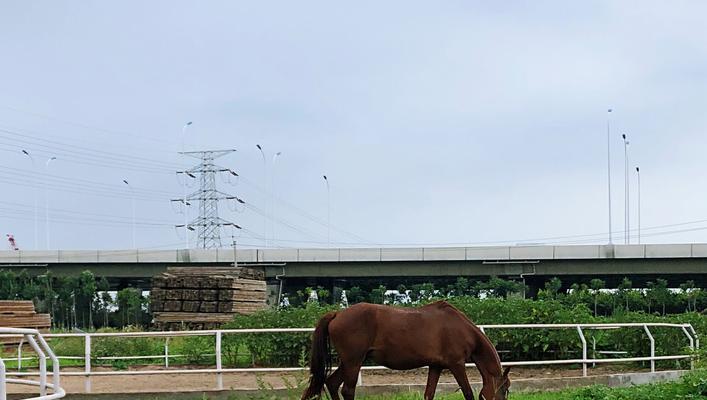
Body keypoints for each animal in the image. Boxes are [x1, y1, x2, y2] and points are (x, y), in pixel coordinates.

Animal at [302, 300, 512, 400]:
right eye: (505, 388)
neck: (460, 327)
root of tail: (337, 314)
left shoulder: (436, 366)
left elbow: (429, 394)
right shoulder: (456, 364)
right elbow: (467, 392)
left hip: (348, 362)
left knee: (331, 383)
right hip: (353, 362)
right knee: (347, 390)